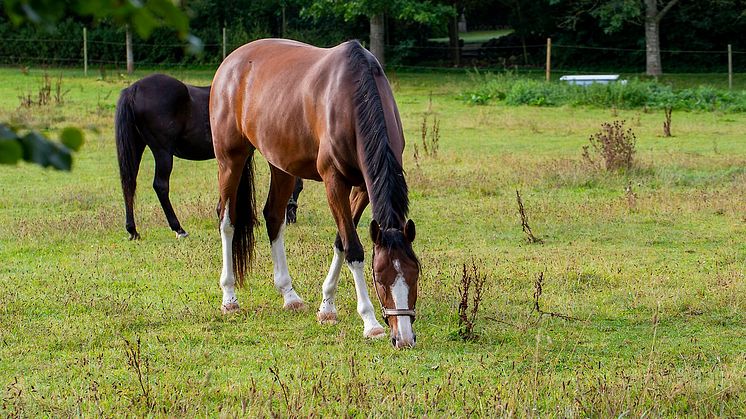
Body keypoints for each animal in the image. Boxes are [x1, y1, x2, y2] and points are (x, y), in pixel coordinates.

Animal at [209, 39, 418, 350]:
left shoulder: (362, 187)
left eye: (415, 274)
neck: (353, 97)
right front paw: (370, 322)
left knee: (274, 217)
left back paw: (289, 295)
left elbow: (341, 241)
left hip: (281, 164)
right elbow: (353, 248)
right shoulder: (334, 181)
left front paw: (327, 306)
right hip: (230, 159)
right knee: (227, 220)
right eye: (380, 278)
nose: (403, 338)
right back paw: (229, 297)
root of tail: (232, 61)